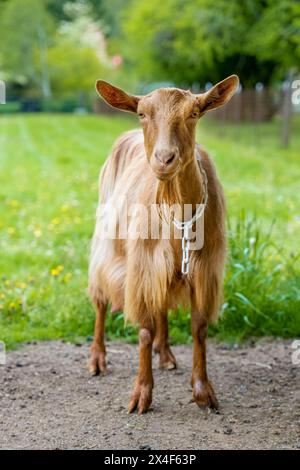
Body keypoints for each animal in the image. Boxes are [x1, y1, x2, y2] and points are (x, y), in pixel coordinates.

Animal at [88, 75, 239, 414]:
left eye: (194, 113)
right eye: (142, 113)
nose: (164, 159)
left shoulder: (202, 269)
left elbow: (199, 328)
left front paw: (202, 391)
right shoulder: (142, 265)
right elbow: (144, 331)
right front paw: (141, 394)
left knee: (162, 305)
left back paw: (166, 353)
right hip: (107, 241)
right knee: (100, 298)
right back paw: (97, 359)